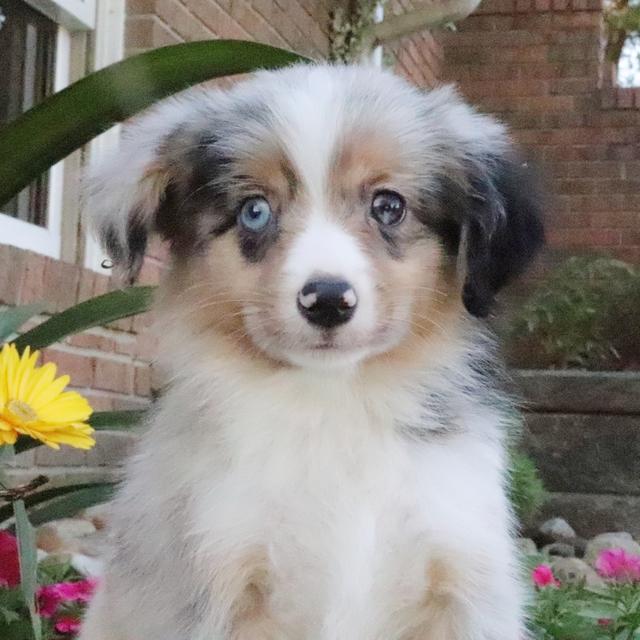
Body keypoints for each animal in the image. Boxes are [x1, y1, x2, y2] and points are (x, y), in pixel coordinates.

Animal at [81, 61, 544, 640]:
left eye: (388, 206)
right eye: (255, 211)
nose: (326, 300)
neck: (333, 406)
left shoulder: (463, 574)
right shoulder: (219, 578)